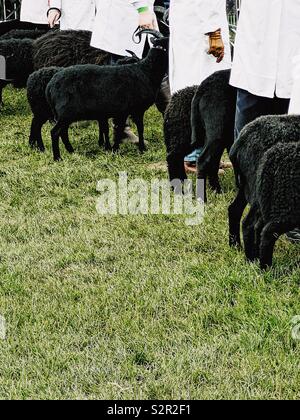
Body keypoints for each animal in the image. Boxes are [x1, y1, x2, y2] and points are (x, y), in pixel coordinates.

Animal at [46, 30, 170, 161]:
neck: (147, 71)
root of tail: (50, 85)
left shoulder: (123, 112)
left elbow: (119, 129)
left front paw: (114, 149)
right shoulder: (137, 109)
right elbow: (140, 128)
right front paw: (142, 148)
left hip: (66, 115)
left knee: (63, 132)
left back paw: (71, 151)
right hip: (66, 113)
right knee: (55, 132)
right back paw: (58, 158)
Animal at [229, 113, 300, 268]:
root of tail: (241, 140)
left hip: (247, 187)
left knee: (234, 210)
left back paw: (236, 246)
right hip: (261, 192)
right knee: (251, 225)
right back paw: (254, 261)